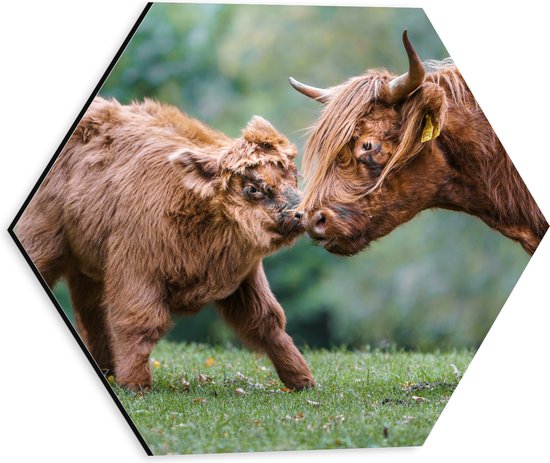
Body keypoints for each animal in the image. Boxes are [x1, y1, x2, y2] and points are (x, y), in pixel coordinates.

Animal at [18, 97, 314, 392]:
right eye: (252, 188)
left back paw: (108, 371)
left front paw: (302, 380)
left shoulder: (245, 277)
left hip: (89, 265)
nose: (300, 213)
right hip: (42, 237)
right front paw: (136, 385)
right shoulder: (135, 268)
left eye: (294, 175)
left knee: (92, 314)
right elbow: (139, 322)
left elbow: (268, 321)